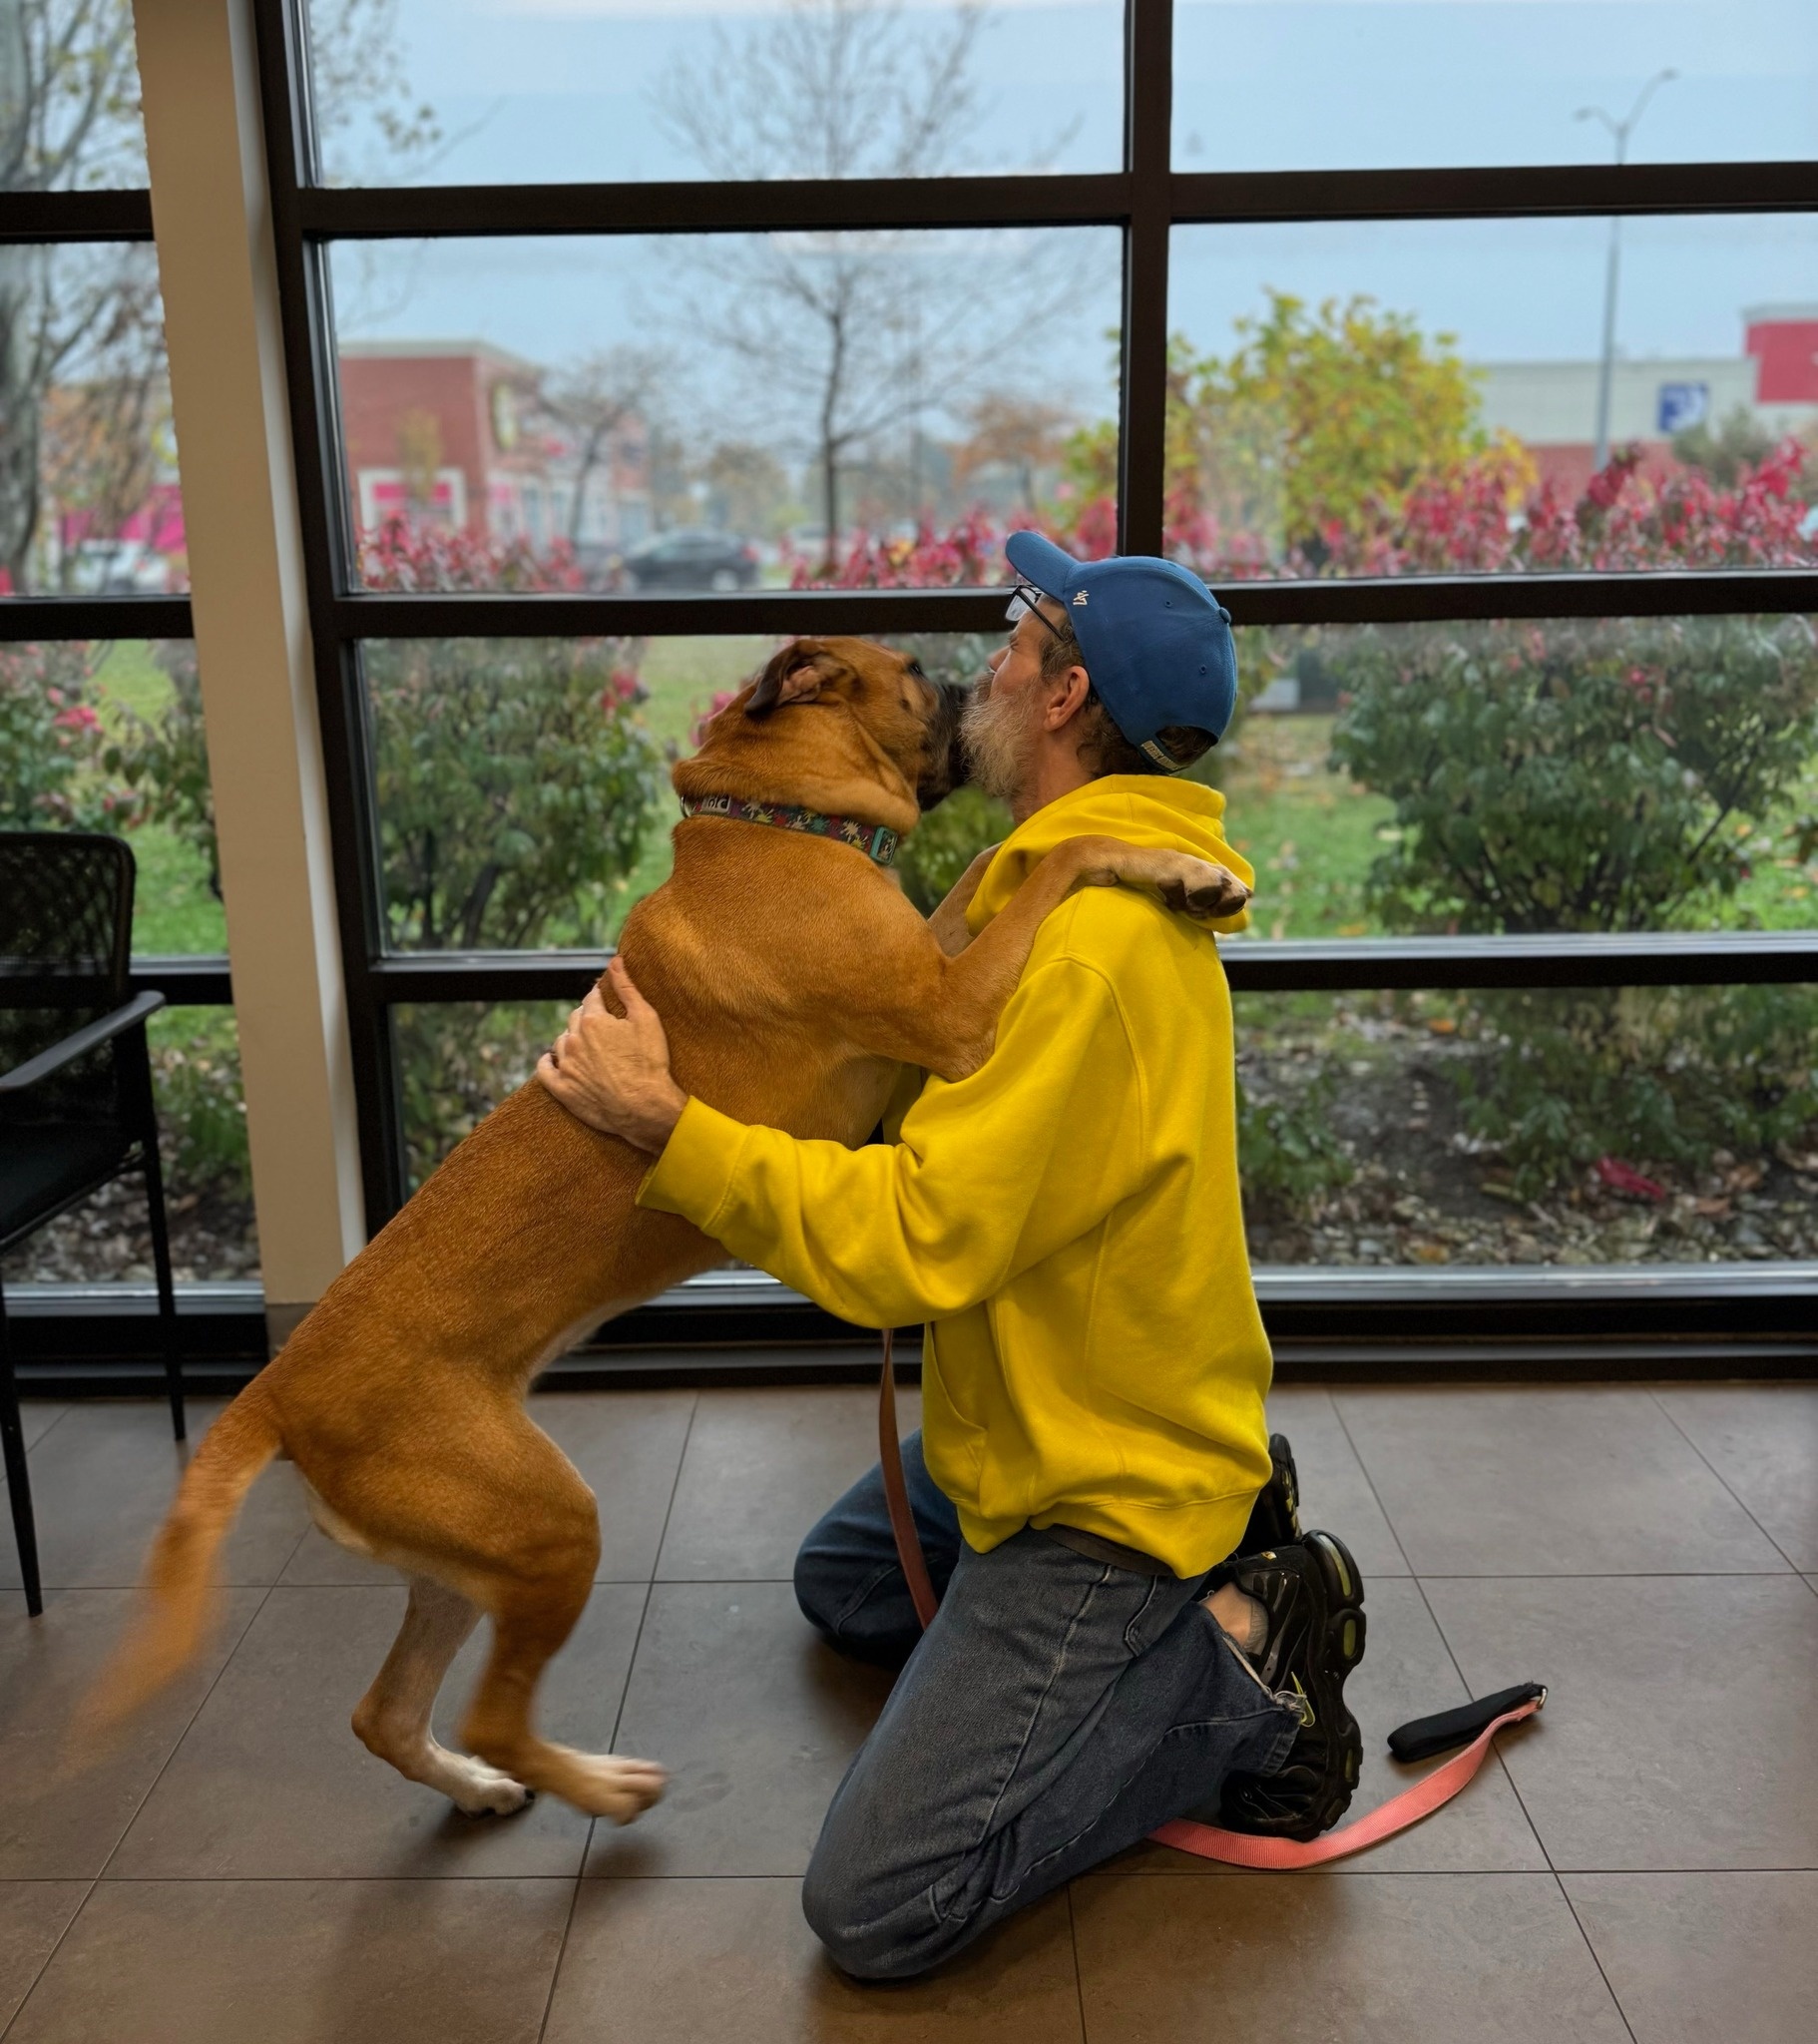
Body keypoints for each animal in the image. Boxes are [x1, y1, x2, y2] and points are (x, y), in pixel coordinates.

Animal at [88, 637, 1249, 1822]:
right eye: (917, 669)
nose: (975, 674)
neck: (780, 816)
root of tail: (278, 1387)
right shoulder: (954, 1008)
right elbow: (1058, 860)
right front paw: (1174, 869)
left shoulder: (935, 963)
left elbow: (981, 870)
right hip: (550, 1525)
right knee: (487, 1711)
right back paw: (600, 1791)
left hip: (463, 1558)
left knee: (387, 1711)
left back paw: (478, 1787)